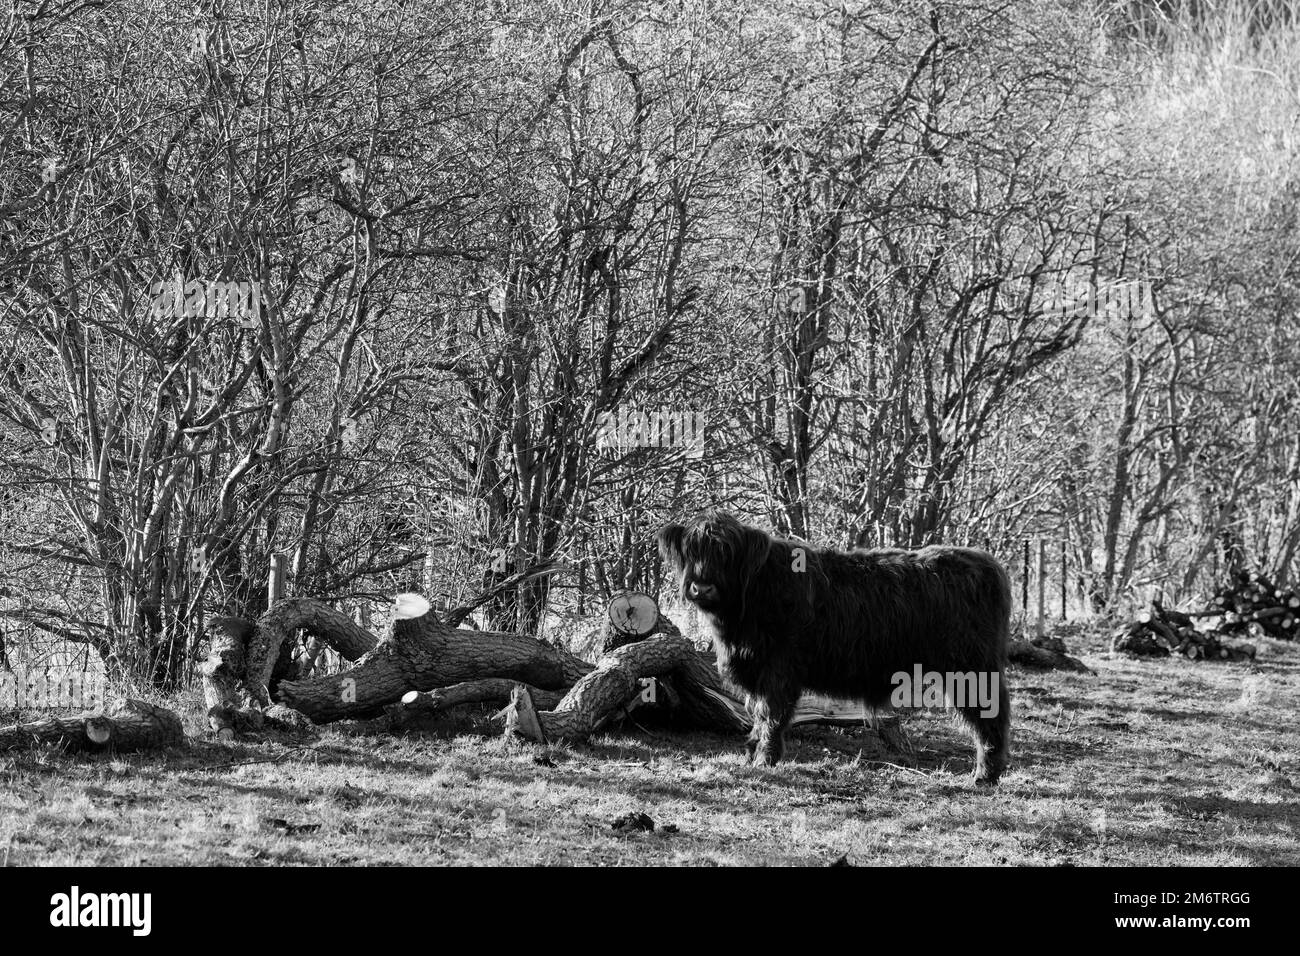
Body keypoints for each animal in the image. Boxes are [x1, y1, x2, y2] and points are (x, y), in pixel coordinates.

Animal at [655, 512, 1008, 780]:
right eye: (691, 550)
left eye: (726, 553)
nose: (702, 587)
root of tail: (986, 563)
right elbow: (755, 711)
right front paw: (752, 751)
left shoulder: (779, 669)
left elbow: (771, 714)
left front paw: (764, 760)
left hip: (972, 666)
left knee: (991, 715)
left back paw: (985, 775)